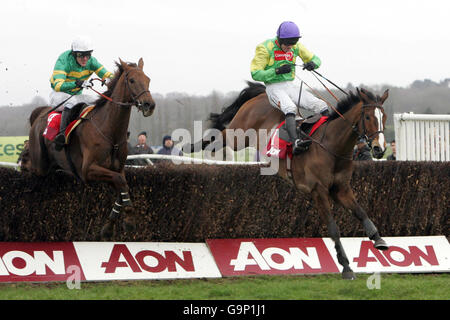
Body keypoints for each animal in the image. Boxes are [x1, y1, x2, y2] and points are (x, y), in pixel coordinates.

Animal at [28, 58, 156, 238]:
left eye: (148, 79)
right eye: (132, 80)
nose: (149, 105)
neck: (109, 131)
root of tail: (40, 113)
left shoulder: (116, 168)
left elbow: (122, 185)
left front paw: (109, 227)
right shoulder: (88, 170)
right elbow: (120, 181)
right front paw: (130, 220)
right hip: (40, 164)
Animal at [199, 82, 388, 278]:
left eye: (384, 117)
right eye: (368, 117)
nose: (379, 149)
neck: (331, 146)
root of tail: (261, 94)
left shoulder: (341, 189)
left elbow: (361, 212)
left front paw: (378, 239)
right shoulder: (318, 191)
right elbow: (333, 228)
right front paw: (346, 267)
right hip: (237, 135)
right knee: (217, 136)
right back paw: (192, 145)